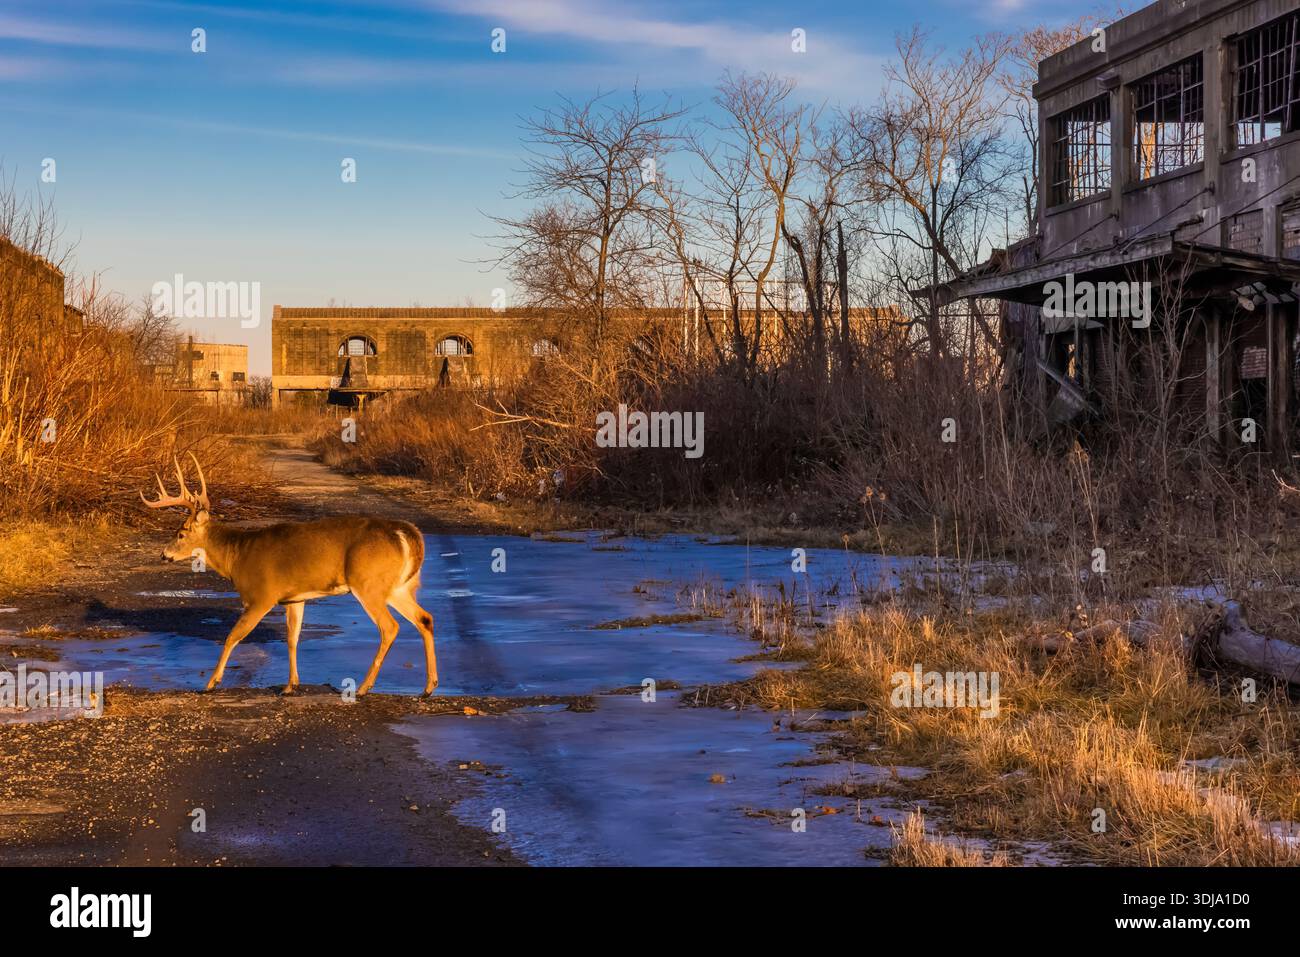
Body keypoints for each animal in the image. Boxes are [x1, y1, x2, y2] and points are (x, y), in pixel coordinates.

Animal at [141, 453, 437, 697]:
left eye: (181, 533)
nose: (164, 555)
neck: (236, 556)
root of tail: (406, 534)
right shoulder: (294, 598)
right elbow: (292, 638)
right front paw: (290, 685)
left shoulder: (262, 595)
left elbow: (233, 636)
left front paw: (211, 682)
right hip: (399, 587)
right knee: (425, 618)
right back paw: (428, 687)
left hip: (368, 583)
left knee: (390, 627)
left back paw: (365, 688)